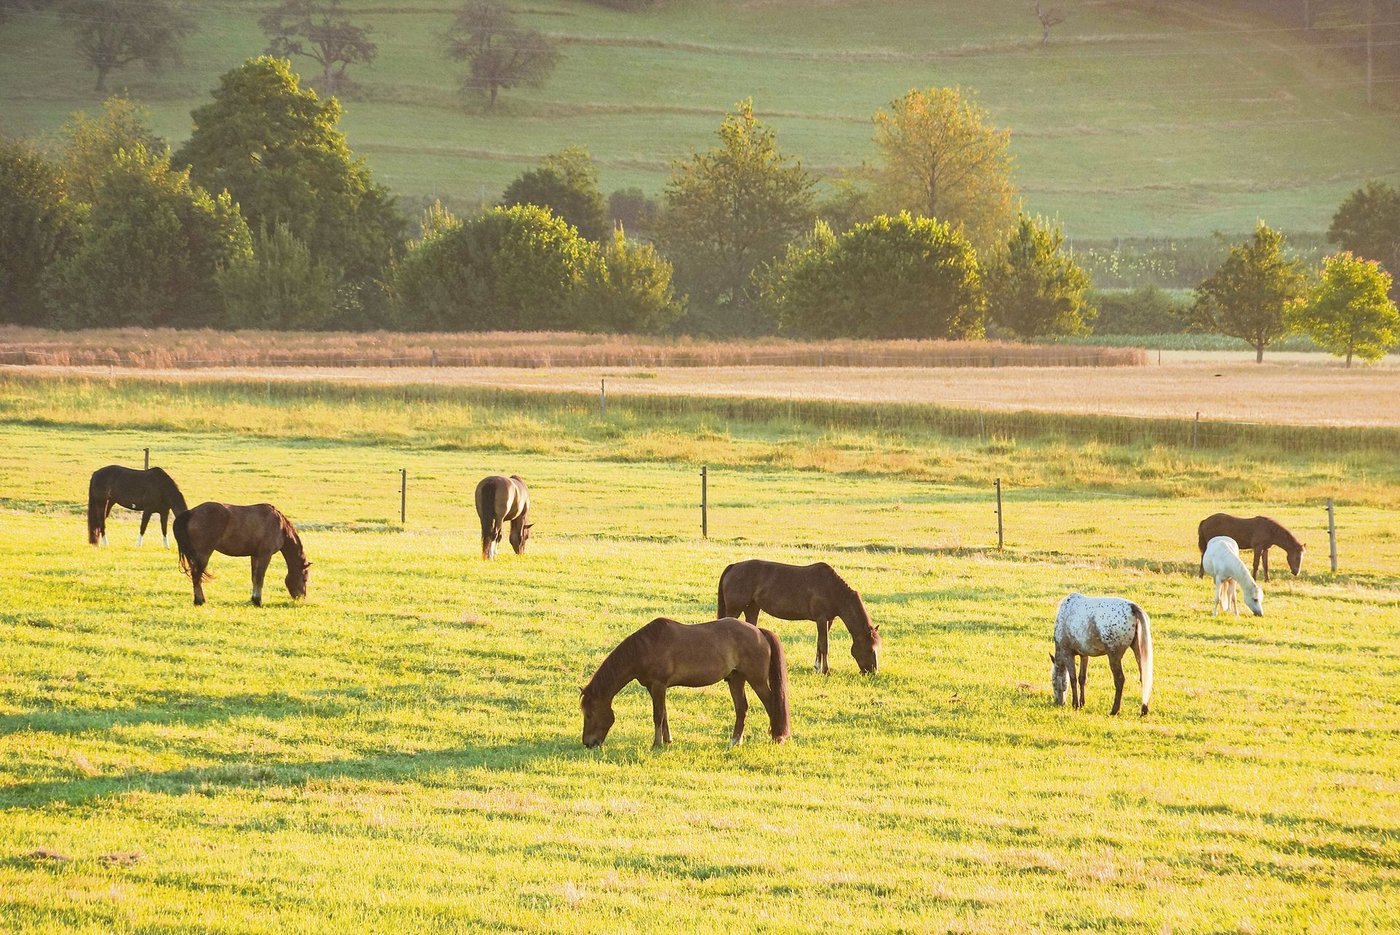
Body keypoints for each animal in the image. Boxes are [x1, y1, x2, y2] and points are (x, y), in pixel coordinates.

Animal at [173, 502, 310, 607]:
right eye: (304, 578)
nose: (301, 597)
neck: (280, 526)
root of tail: (191, 512)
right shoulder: (265, 555)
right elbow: (260, 578)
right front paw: (258, 601)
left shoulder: (255, 555)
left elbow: (254, 577)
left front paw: (254, 599)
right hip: (203, 554)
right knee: (196, 576)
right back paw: (199, 601)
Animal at [581, 617, 791, 749]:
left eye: (589, 714)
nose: (588, 743)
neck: (644, 649)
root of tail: (759, 632)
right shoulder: (654, 687)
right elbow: (664, 714)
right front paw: (667, 741)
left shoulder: (658, 685)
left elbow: (658, 715)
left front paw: (656, 744)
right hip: (736, 679)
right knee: (742, 709)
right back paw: (734, 741)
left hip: (757, 680)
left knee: (771, 705)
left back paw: (777, 738)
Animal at [717, 559, 880, 674]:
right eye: (870, 649)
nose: (873, 672)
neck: (834, 590)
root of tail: (733, 566)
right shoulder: (821, 619)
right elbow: (824, 645)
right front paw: (825, 671)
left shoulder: (828, 620)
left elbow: (819, 644)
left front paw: (817, 667)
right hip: (735, 609)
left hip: (752, 608)